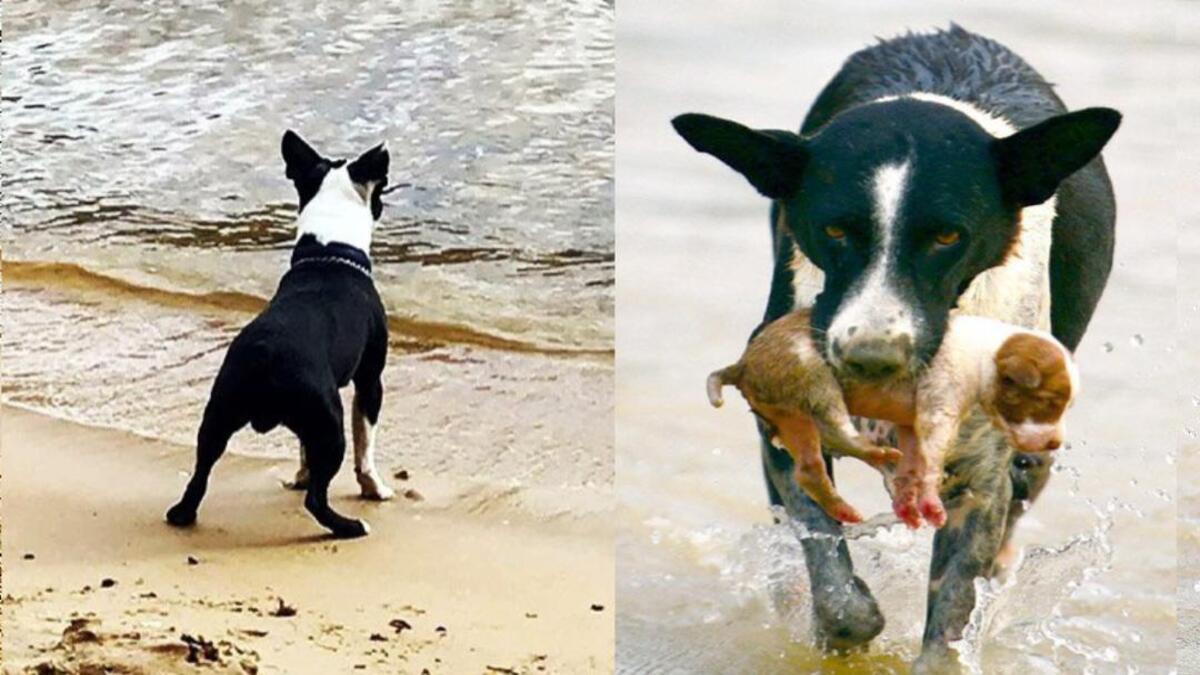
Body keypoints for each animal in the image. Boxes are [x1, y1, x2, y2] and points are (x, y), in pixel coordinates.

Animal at [166, 127, 391, 535]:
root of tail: (264, 358)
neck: (328, 250)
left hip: (220, 413)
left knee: (200, 474)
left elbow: (304, 451)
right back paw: (349, 526)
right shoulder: (370, 381)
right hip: (329, 424)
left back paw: (183, 513)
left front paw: (301, 474)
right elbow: (366, 443)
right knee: (317, 499)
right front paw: (374, 488)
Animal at [705, 309, 1075, 526]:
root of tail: (743, 364)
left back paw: (844, 507)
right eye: (1049, 401)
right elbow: (931, 460)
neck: (986, 355)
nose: (1055, 442)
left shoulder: (910, 425)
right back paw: (874, 453)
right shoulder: (938, 411)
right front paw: (930, 504)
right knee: (838, 430)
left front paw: (908, 502)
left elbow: (913, 463)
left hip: (791, 418)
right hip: (814, 378)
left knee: (809, 470)